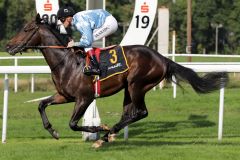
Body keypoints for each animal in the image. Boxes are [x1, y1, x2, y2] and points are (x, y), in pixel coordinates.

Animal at [4, 15, 228, 148]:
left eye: (26, 29)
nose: (7, 46)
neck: (66, 62)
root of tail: (163, 58)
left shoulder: (84, 98)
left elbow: (73, 124)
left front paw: (100, 128)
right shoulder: (64, 95)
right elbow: (41, 105)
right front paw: (53, 131)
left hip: (137, 85)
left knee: (141, 112)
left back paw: (107, 134)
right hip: (129, 88)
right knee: (130, 113)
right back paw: (109, 135)